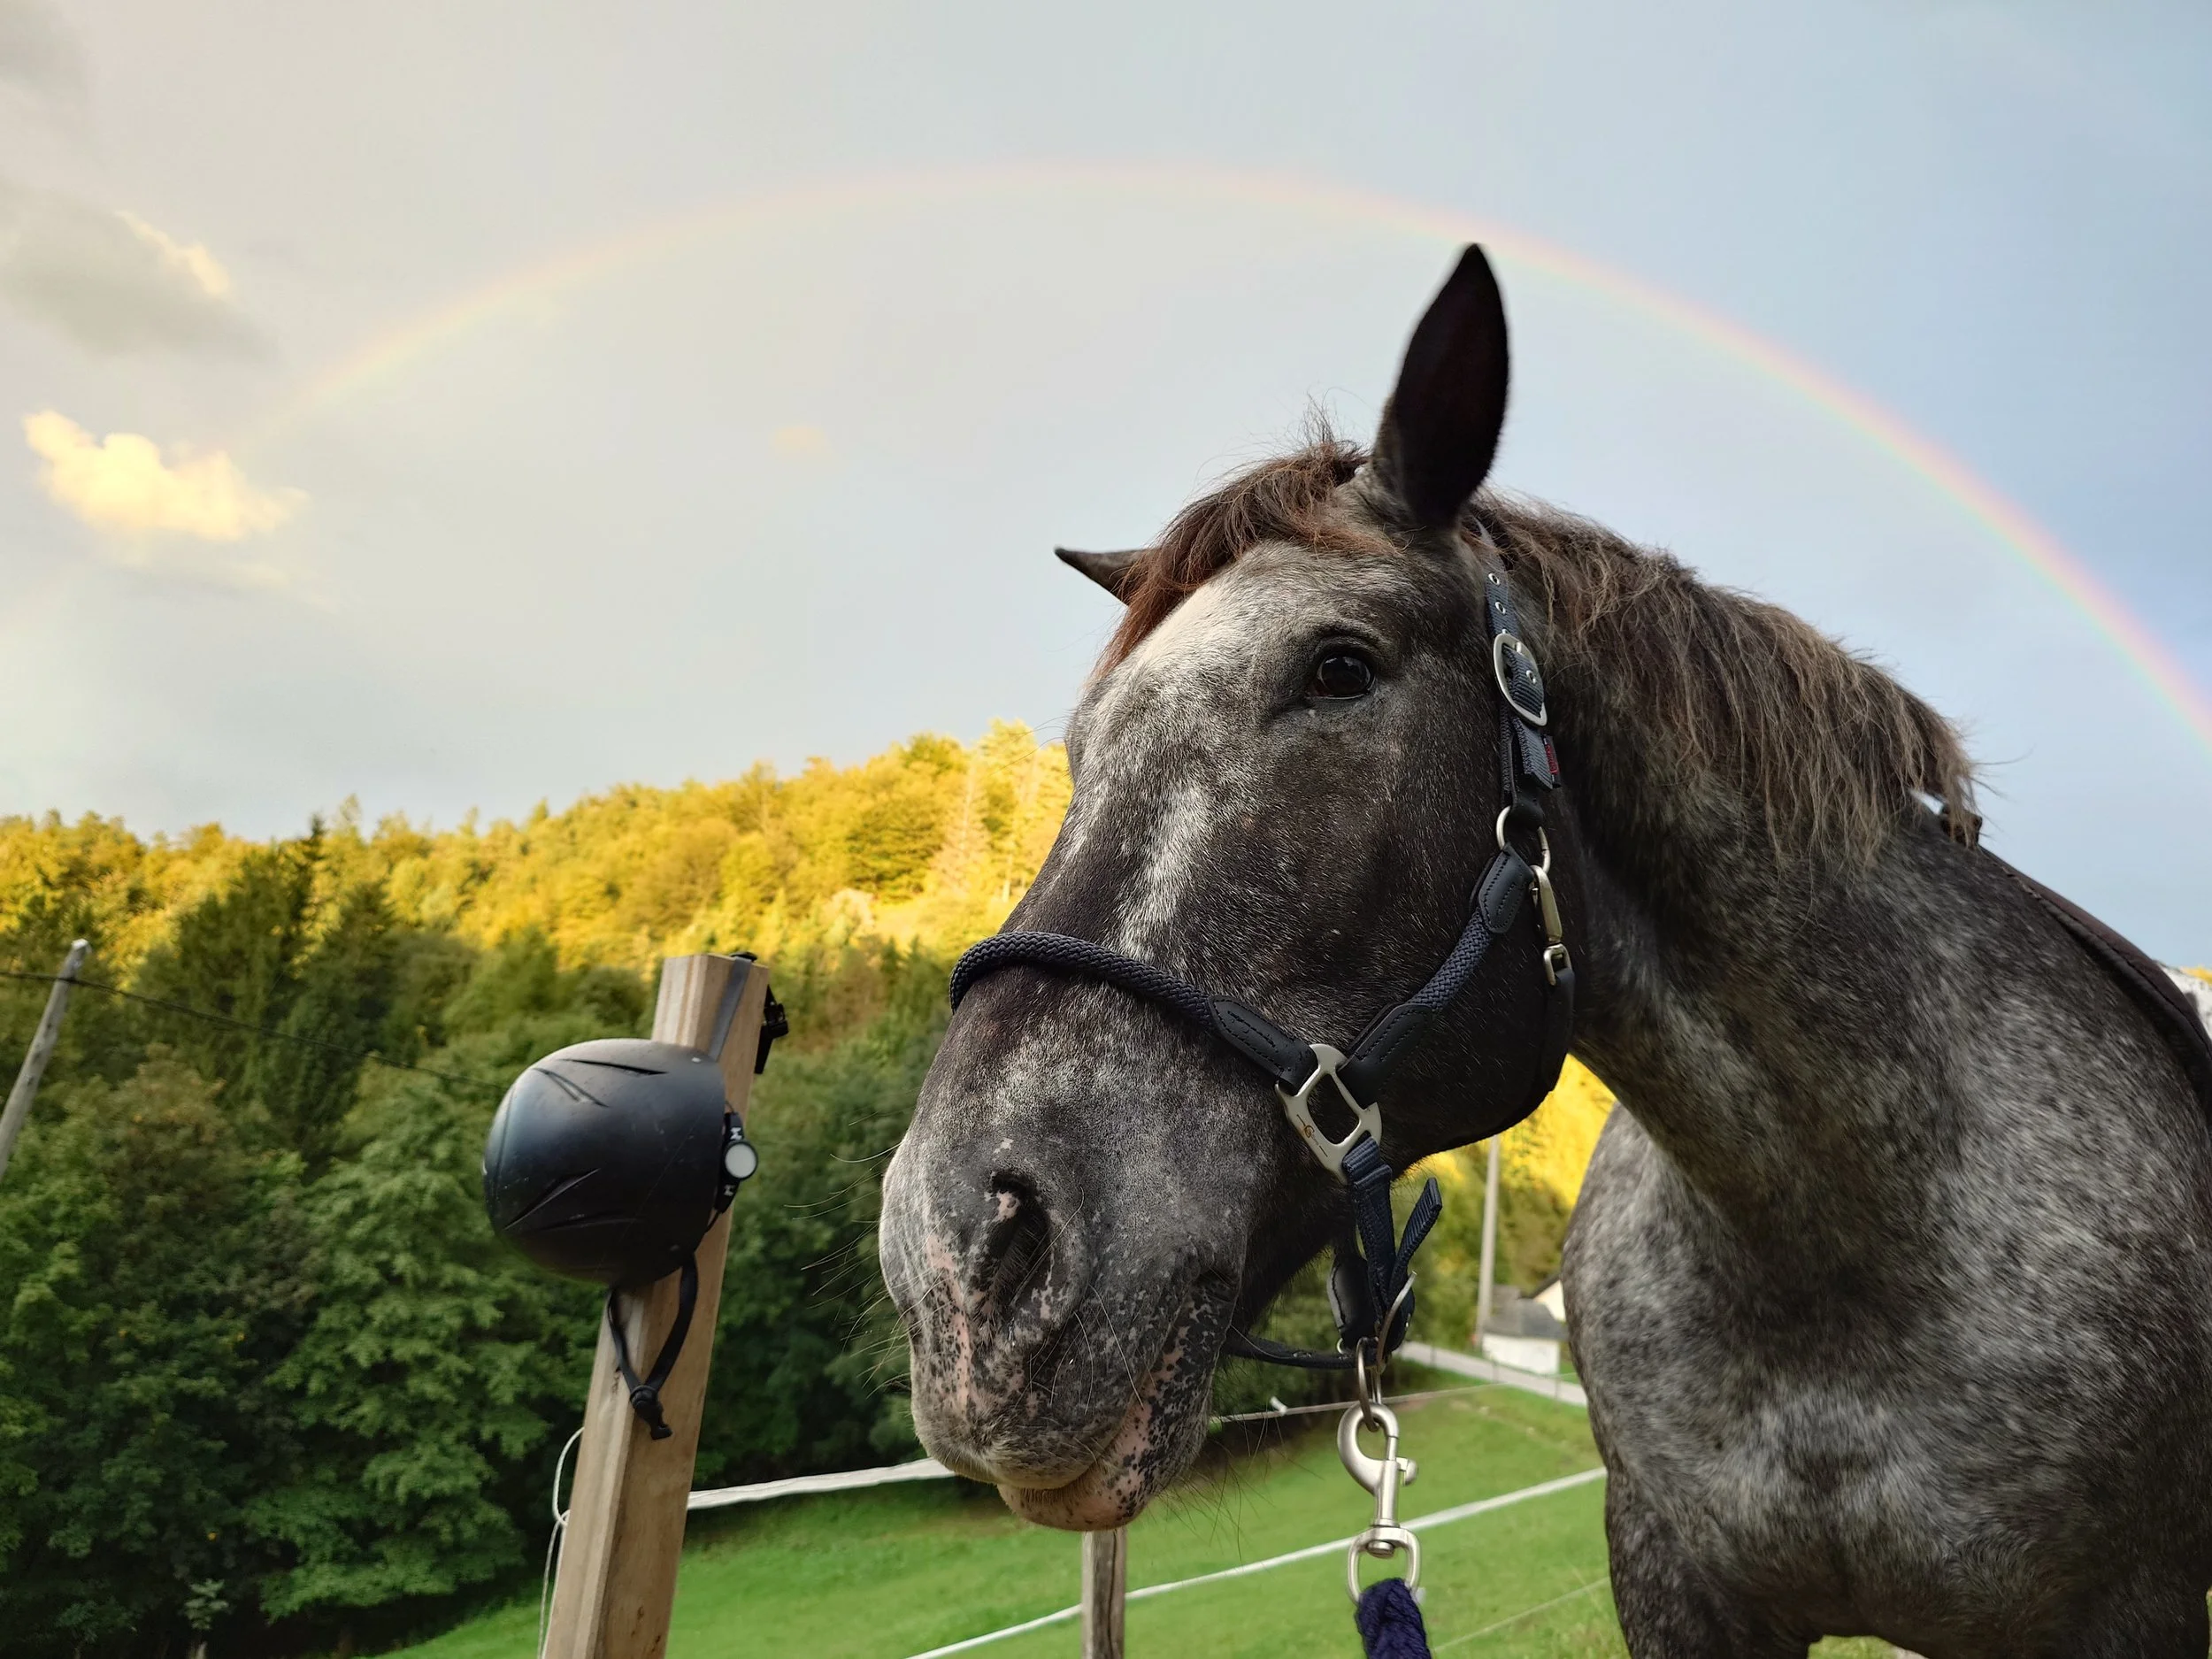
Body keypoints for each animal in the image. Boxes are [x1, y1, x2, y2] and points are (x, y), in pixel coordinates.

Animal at [877, 247, 2212, 1655]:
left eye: (1339, 667)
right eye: (1081, 741)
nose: (954, 1256)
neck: (1839, 1240)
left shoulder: (2127, 1610)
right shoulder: (1675, 1585)